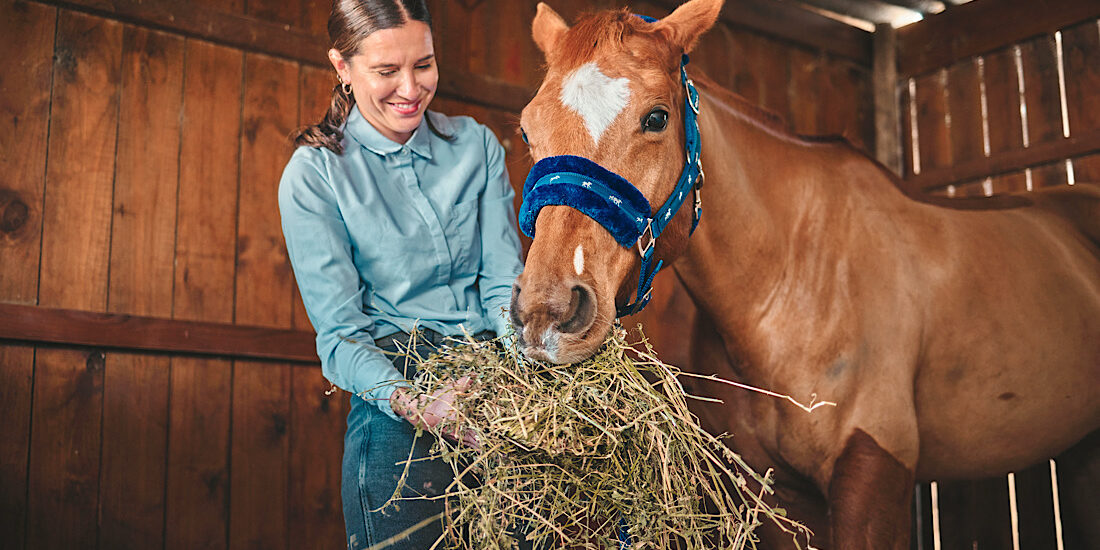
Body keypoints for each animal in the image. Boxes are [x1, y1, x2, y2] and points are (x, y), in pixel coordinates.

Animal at [507, 1, 1100, 548]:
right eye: (527, 130)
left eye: (656, 118)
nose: (548, 313)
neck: (793, 281)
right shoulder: (775, 493)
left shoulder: (874, 477)